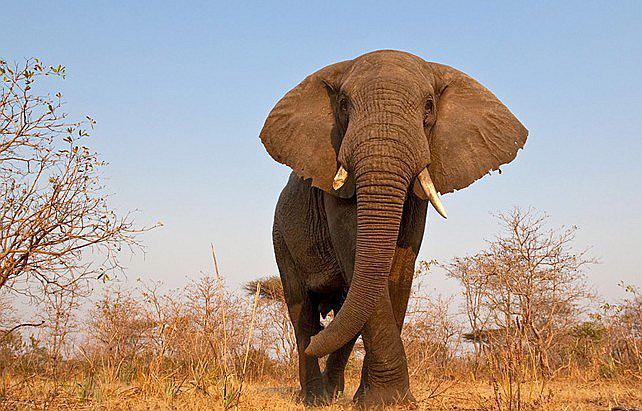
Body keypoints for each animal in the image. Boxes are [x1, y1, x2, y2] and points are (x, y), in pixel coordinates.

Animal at [260, 50, 527, 407]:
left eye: (429, 106)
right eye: (343, 104)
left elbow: (397, 271)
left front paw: (386, 401)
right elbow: (355, 252)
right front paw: (384, 401)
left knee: (343, 313)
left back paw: (331, 391)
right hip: (281, 238)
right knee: (302, 313)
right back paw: (314, 396)